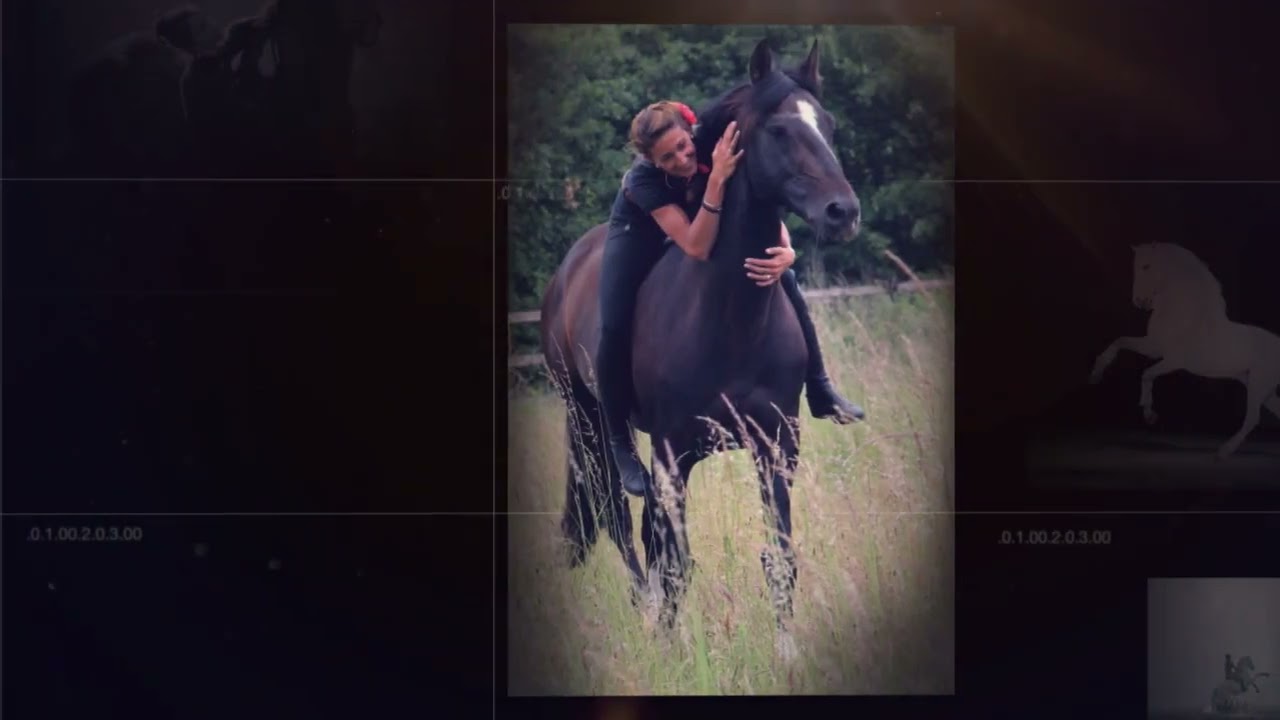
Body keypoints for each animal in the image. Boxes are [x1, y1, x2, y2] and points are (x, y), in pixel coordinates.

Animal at [538, 38, 861, 658]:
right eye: (779, 130)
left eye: (828, 125)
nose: (843, 212)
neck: (730, 321)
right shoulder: (671, 456)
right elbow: (676, 563)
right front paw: (674, 649)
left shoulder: (777, 447)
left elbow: (778, 556)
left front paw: (786, 652)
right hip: (588, 420)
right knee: (619, 519)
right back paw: (644, 612)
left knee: (642, 530)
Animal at [1090, 242, 1280, 458]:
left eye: (1146, 266)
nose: (1139, 301)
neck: (1184, 315)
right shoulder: (1153, 347)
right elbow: (1119, 342)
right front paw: (1095, 375)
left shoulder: (1174, 360)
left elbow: (1147, 374)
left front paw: (1149, 414)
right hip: (1262, 387)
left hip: (1258, 385)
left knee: (1252, 418)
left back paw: (1223, 451)